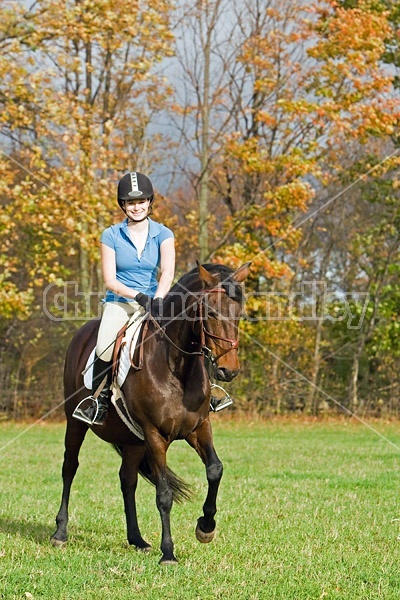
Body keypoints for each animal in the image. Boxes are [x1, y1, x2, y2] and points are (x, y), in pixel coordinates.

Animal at [50, 262, 250, 564]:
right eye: (211, 313)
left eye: (239, 314)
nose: (229, 370)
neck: (177, 367)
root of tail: (83, 332)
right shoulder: (155, 435)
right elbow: (163, 493)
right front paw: (168, 552)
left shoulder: (199, 427)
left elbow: (215, 469)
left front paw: (206, 527)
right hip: (76, 424)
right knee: (69, 467)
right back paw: (60, 533)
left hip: (134, 440)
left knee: (127, 480)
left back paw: (137, 539)